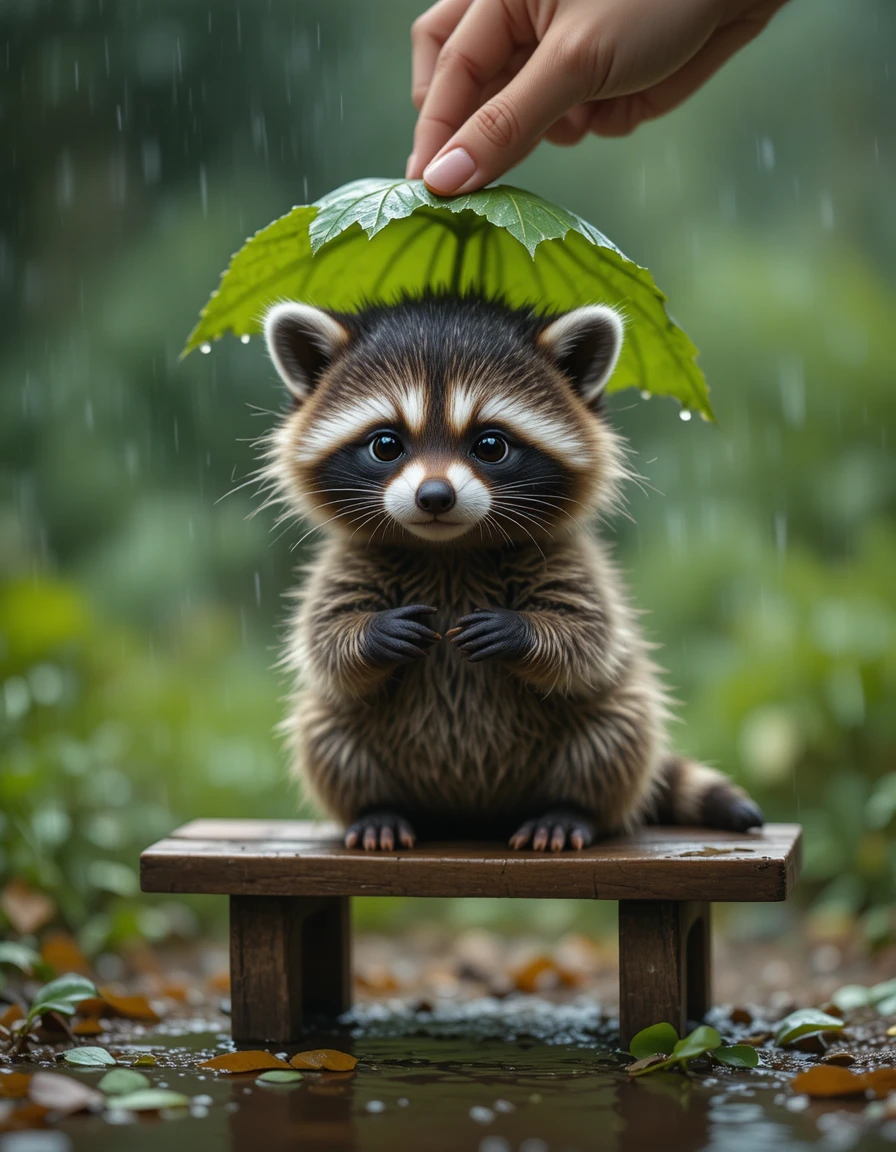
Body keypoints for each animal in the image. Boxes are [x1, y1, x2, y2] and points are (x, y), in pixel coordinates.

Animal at [260, 291, 763, 852]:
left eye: (490, 445)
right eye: (386, 445)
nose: (434, 496)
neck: (449, 550)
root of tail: (473, 816)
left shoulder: (565, 558)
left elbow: (588, 638)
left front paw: (519, 631)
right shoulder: (350, 561)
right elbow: (325, 642)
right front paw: (374, 633)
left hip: (606, 726)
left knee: (618, 730)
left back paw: (568, 809)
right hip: (342, 733)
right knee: (325, 735)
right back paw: (377, 809)